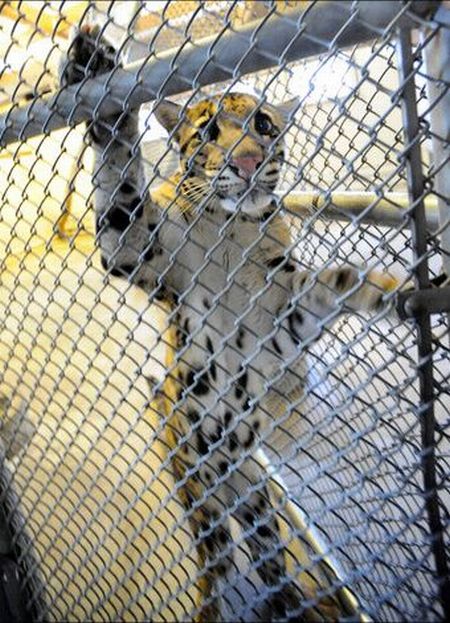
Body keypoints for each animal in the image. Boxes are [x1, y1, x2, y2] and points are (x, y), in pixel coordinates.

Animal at [60, 24, 400, 620]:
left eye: (263, 125)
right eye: (207, 132)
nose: (246, 161)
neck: (233, 233)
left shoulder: (281, 317)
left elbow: (329, 284)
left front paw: (384, 285)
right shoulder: (137, 249)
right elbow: (119, 178)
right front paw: (96, 79)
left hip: (257, 500)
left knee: (268, 559)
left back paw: (285, 602)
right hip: (203, 500)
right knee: (215, 569)